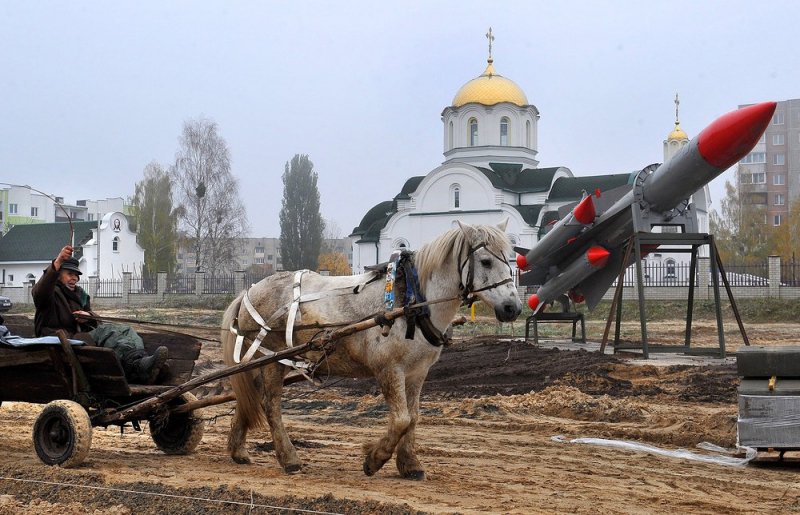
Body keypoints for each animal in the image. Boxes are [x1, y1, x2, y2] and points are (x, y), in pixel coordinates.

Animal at [220, 221, 520, 480]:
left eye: (511, 259)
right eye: (486, 261)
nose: (512, 308)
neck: (412, 302)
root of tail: (249, 291)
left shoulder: (417, 373)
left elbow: (413, 418)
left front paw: (410, 464)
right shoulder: (389, 369)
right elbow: (401, 419)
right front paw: (374, 458)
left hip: (262, 360)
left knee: (248, 398)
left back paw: (237, 450)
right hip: (273, 360)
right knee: (270, 404)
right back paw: (289, 457)